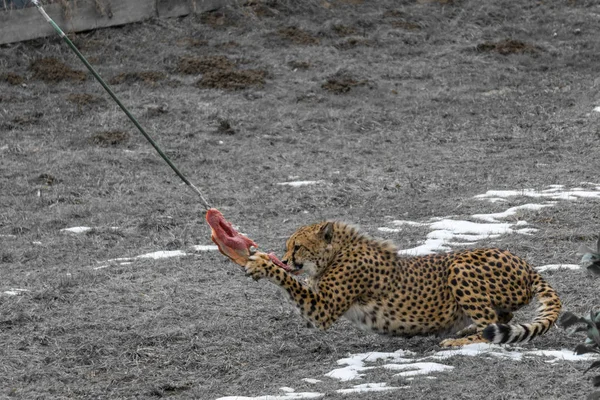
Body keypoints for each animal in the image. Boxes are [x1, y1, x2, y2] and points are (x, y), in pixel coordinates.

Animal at [244, 220, 564, 346]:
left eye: (297, 247)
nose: (285, 258)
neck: (337, 251)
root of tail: (527, 265)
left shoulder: (322, 309)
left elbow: (290, 283)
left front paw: (262, 264)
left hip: (459, 266)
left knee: (490, 328)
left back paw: (459, 340)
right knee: (501, 319)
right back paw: (467, 328)